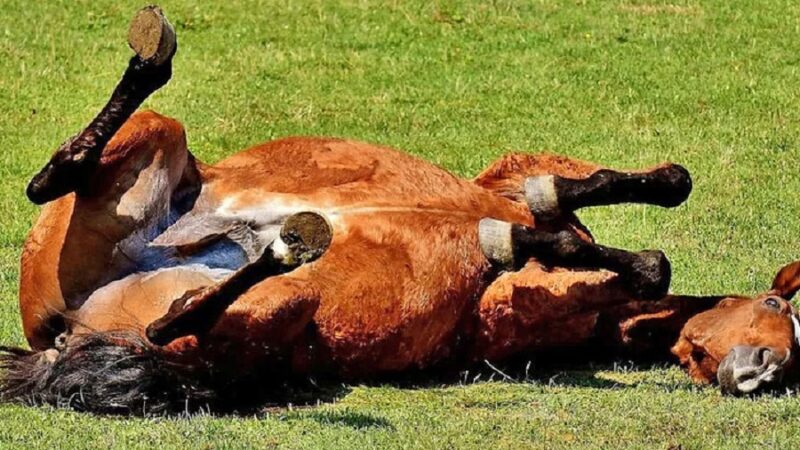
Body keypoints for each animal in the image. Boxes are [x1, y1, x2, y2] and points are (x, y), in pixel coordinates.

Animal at [1, 6, 798, 414]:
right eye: (777, 306)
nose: (761, 373)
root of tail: (57, 336)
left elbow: (598, 243)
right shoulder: (513, 183)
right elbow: (608, 216)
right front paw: (555, 232)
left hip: (268, 311)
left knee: (175, 318)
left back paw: (286, 242)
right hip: (161, 151)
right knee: (57, 180)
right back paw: (152, 59)